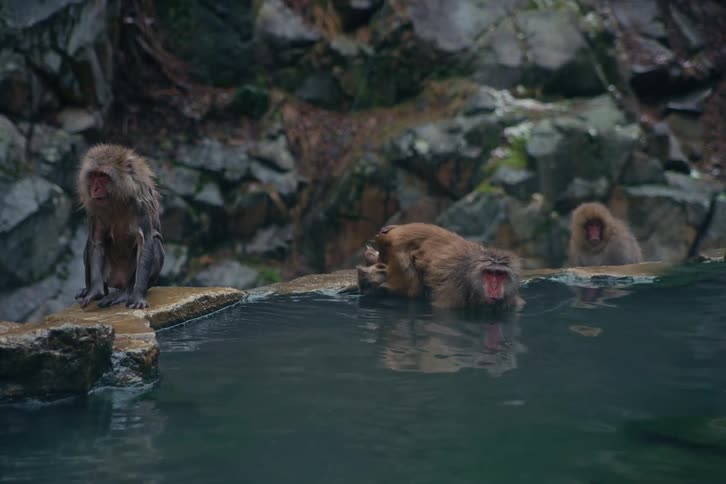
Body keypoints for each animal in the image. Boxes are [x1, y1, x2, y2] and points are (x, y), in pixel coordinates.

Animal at [76, 144, 165, 309]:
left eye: (103, 176)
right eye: (94, 175)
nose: (94, 189)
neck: (117, 198)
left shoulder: (141, 204)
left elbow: (146, 242)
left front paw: (137, 296)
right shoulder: (94, 209)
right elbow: (97, 241)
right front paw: (94, 292)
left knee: (155, 242)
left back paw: (126, 292)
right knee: (89, 244)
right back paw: (94, 289)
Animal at [357, 223, 523, 311]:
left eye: (500, 275)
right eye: (489, 273)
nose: (494, 287)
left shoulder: (510, 301)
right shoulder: (453, 293)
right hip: (397, 251)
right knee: (411, 287)